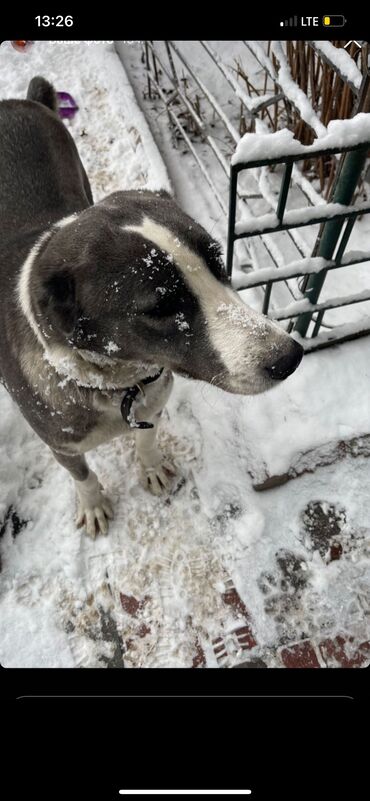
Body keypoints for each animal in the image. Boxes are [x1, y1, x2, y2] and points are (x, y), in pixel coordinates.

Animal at [0, 78, 304, 536]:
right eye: (161, 307)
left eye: (218, 262)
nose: (289, 357)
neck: (115, 384)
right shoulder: (60, 443)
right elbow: (82, 474)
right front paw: (93, 503)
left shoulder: (152, 402)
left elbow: (146, 437)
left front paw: (151, 467)